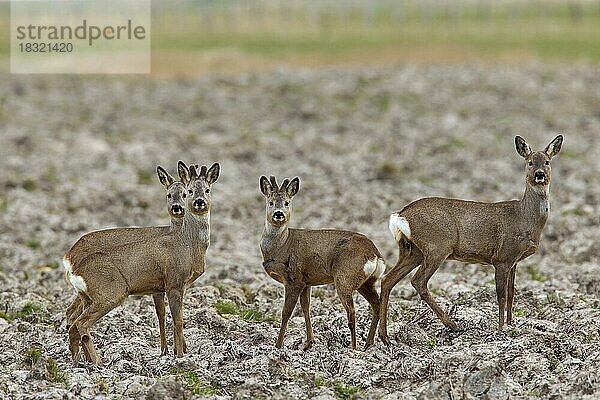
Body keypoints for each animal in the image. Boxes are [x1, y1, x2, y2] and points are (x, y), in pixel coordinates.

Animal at [64, 161, 219, 364]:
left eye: (207, 190)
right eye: (191, 190)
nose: (199, 202)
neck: (187, 243)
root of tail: (70, 260)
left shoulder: (160, 287)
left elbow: (163, 315)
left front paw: (168, 351)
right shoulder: (174, 282)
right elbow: (178, 319)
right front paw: (179, 355)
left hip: (87, 296)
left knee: (72, 320)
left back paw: (80, 362)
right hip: (110, 293)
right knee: (80, 323)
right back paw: (98, 363)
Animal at [258, 176, 384, 350]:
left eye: (287, 202)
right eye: (270, 202)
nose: (278, 214)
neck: (281, 245)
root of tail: (374, 254)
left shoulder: (293, 279)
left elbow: (286, 313)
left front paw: (278, 345)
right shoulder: (306, 281)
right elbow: (306, 308)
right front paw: (309, 343)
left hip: (344, 277)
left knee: (352, 311)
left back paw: (353, 348)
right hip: (366, 282)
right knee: (376, 304)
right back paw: (368, 344)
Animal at [380, 135, 564, 344]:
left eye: (547, 161)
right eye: (530, 162)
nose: (539, 174)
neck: (525, 218)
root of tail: (400, 215)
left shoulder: (514, 260)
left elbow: (512, 293)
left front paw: (512, 324)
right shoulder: (501, 258)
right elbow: (501, 296)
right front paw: (501, 329)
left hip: (412, 251)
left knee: (387, 280)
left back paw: (384, 337)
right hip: (437, 246)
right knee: (418, 282)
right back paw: (454, 325)